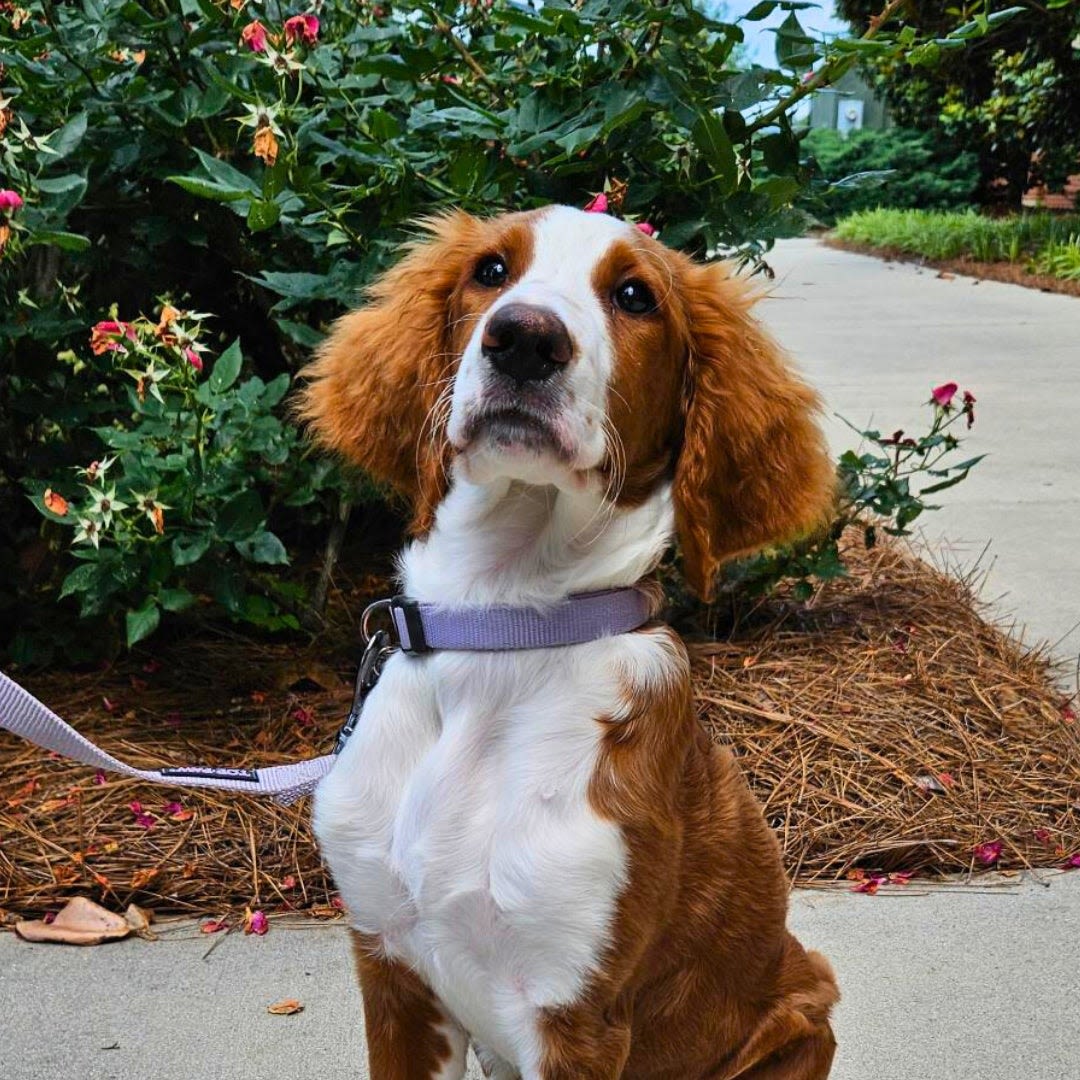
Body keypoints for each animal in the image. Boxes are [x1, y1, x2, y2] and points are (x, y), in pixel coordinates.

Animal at [300, 204, 838, 1080]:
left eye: (635, 296)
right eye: (490, 271)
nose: (524, 338)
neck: (503, 620)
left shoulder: (576, 1015)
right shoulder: (389, 969)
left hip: (804, 1009)